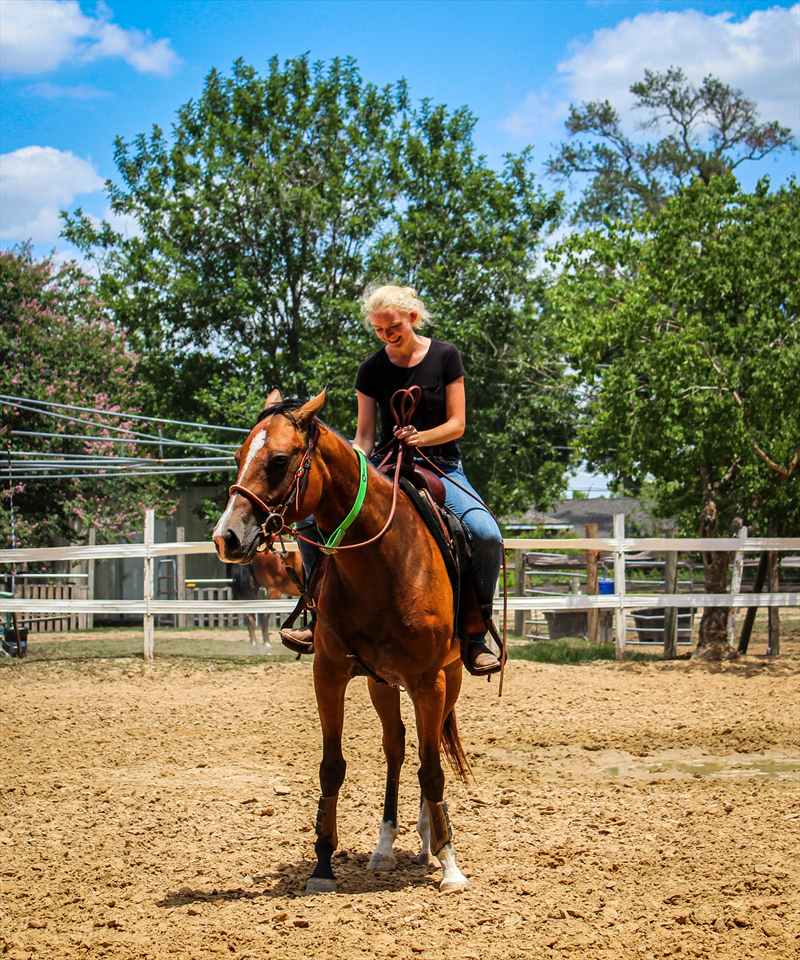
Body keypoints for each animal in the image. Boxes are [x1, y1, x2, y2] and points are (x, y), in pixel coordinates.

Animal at [212, 388, 472, 894]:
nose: (226, 537)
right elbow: (332, 766)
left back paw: (430, 844)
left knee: (427, 750)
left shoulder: (428, 680)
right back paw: (386, 848)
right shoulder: (329, 673)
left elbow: (432, 770)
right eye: (238, 456)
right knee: (396, 748)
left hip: (447, 679)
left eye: (278, 460)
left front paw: (451, 865)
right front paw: (322, 865)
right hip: (381, 683)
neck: (384, 562)